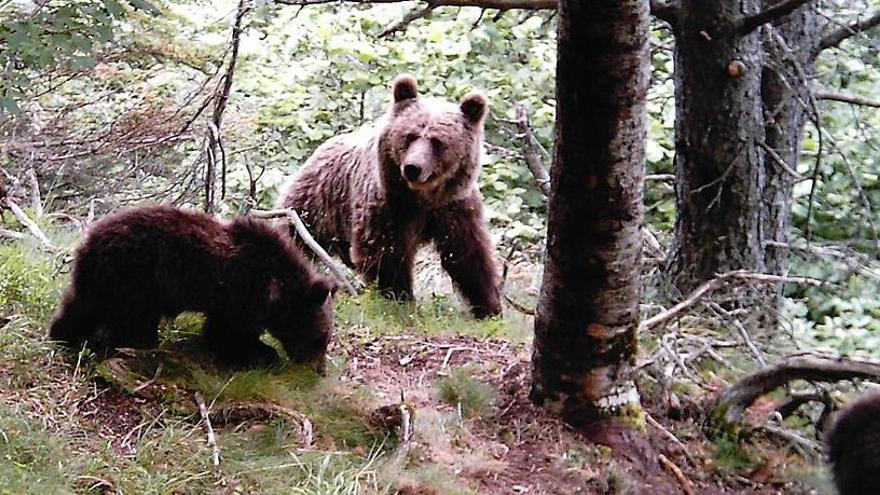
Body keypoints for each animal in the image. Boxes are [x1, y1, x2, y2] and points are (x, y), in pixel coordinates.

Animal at [48, 203, 338, 370]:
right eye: (320, 338)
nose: (317, 370)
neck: (279, 291)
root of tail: (91, 241)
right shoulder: (244, 295)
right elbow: (228, 333)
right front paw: (260, 354)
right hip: (136, 279)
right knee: (133, 322)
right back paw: (139, 345)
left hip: (101, 281)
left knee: (80, 307)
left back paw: (65, 334)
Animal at [278, 75, 506, 320]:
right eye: (410, 135)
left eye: (437, 141)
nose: (413, 168)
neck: (423, 198)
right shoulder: (388, 204)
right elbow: (386, 252)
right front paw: (399, 298)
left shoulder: (454, 206)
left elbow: (468, 253)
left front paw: (489, 307)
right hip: (313, 205)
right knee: (293, 238)